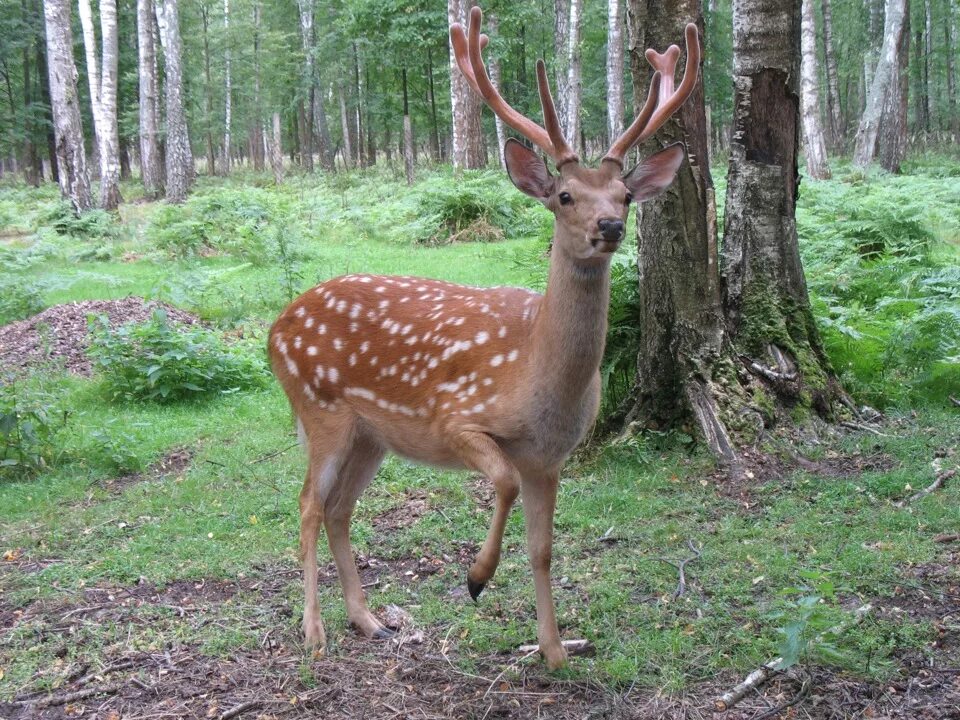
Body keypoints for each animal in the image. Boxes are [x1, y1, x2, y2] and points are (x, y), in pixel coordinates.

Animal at [266, 5, 700, 668]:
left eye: (626, 194)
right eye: (564, 195)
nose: (610, 226)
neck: (538, 378)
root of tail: (275, 328)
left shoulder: (550, 457)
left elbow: (544, 548)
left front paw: (554, 651)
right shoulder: (457, 418)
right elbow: (501, 482)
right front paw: (475, 577)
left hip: (371, 434)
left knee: (340, 509)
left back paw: (369, 621)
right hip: (321, 409)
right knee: (309, 505)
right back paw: (315, 632)